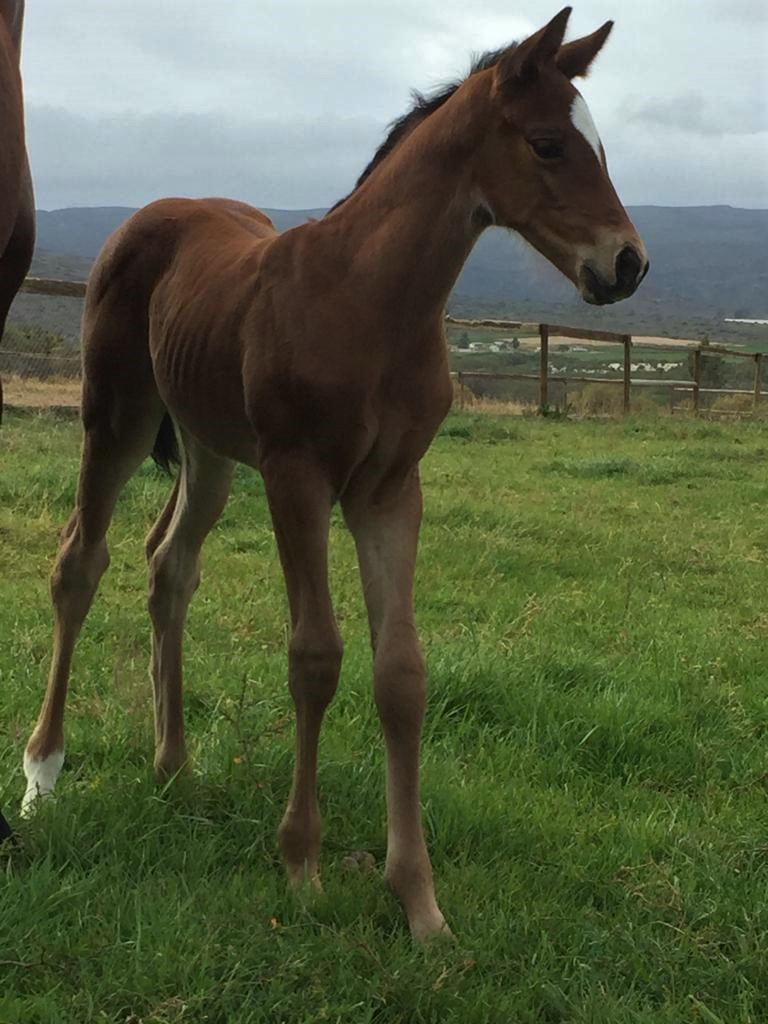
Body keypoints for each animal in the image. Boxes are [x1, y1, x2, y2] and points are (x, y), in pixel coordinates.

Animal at [21, 8, 648, 939]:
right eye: (547, 144)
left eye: (599, 145)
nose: (627, 264)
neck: (371, 302)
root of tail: (159, 212)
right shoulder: (299, 477)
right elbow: (315, 656)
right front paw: (302, 865)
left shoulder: (390, 491)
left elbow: (402, 674)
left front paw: (418, 899)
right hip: (118, 417)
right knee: (79, 564)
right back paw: (42, 777)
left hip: (208, 446)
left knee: (170, 567)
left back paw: (174, 767)